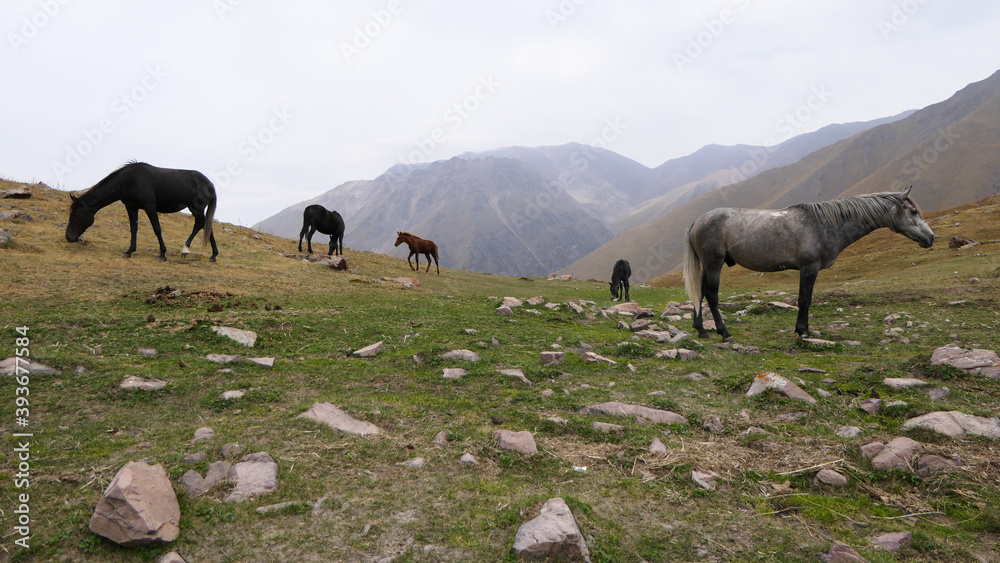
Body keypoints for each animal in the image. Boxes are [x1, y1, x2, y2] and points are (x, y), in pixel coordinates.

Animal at [65, 161, 218, 262]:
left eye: (76, 214)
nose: (69, 237)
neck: (130, 180)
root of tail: (210, 184)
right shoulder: (131, 207)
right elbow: (134, 228)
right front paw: (129, 251)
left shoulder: (150, 206)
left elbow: (157, 228)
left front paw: (162, 254)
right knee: (206, 226)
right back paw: (213, 255)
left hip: (196, 208)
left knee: (200, 225)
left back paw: (187, 249)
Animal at [683, 186, 934, 340]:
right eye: (913, 211)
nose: (930, 238)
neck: (825, 224)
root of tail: (697, 221)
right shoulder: (809, 268)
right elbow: (805, 299)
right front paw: (803, 331)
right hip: (713, 263)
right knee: (711, 295)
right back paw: (723, 332)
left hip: (708, 265)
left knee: (701, 292)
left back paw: (701, 330)